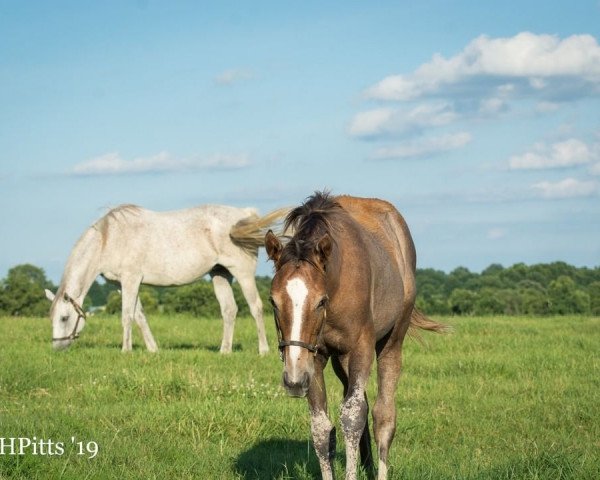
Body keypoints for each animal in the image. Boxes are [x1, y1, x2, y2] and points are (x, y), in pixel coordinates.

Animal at [44, 204, 286, 354]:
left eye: (64, 318)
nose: (57, 348)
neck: (110, 238)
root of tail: (246, 214)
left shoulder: (131, 279)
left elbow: (127, 316)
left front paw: (125, 350)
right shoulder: (122, 284)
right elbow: (140, 315)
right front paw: (153, 349)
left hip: (242, 273)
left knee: (255, 307)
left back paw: (263, 350)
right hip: (220, 273)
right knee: (229, 310)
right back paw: (224, 351)